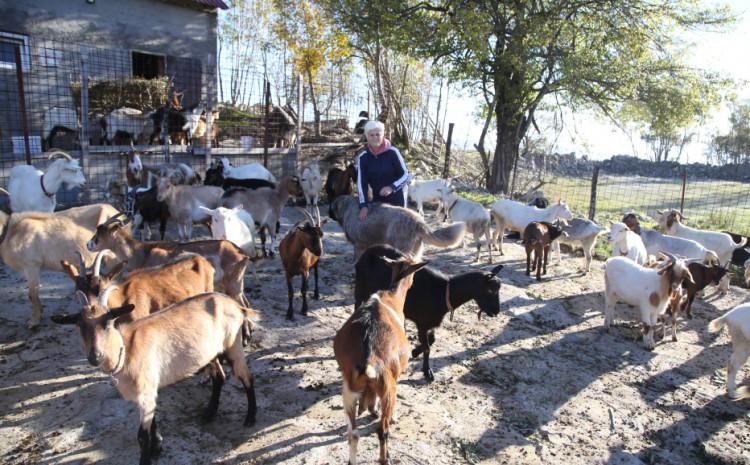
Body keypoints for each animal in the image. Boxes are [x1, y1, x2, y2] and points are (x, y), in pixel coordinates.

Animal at [52, 290, 258, 464]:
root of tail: (236, 305)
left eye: (108, 322)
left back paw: (250, 417)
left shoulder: (146, 389)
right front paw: (157, 447)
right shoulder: (145, 392)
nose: (96, 356)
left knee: (246, 376)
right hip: (210, 354)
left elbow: (141, 435)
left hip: (232, 345)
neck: (127, 351)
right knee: (219, 377)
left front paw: (147, 458)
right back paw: (209, 414)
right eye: (79, 326)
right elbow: (152, 423)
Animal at [87, 216, 258, 310]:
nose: (89, 244)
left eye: (99, 233)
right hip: (237, 284)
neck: (143, 253)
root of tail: (241, 252)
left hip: (233, 284)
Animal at [332, 194, 468, 262]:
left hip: (399, 248)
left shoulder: (359, 245)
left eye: (331, 208)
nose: (329, 214)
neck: (349, 208)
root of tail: (417, 221)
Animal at [334, 254, 428, 464]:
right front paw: (392, 416)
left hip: (348, 389)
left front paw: (371, 408)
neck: (391, 296)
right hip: (387, 387)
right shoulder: (396, 377)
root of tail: (368, 359)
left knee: (353, 433)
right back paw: (385, 458)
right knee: (382, 430)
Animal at [354, 243, 506, 380]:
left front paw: (415, 352)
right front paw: (427, 372)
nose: (496, 311)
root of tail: (369, 249)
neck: (444, 291)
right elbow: (427, 347)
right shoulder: (422, 323)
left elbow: (432, 340)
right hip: (361, 286)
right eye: (491, 289)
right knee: (357, 304)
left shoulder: (430, 321)